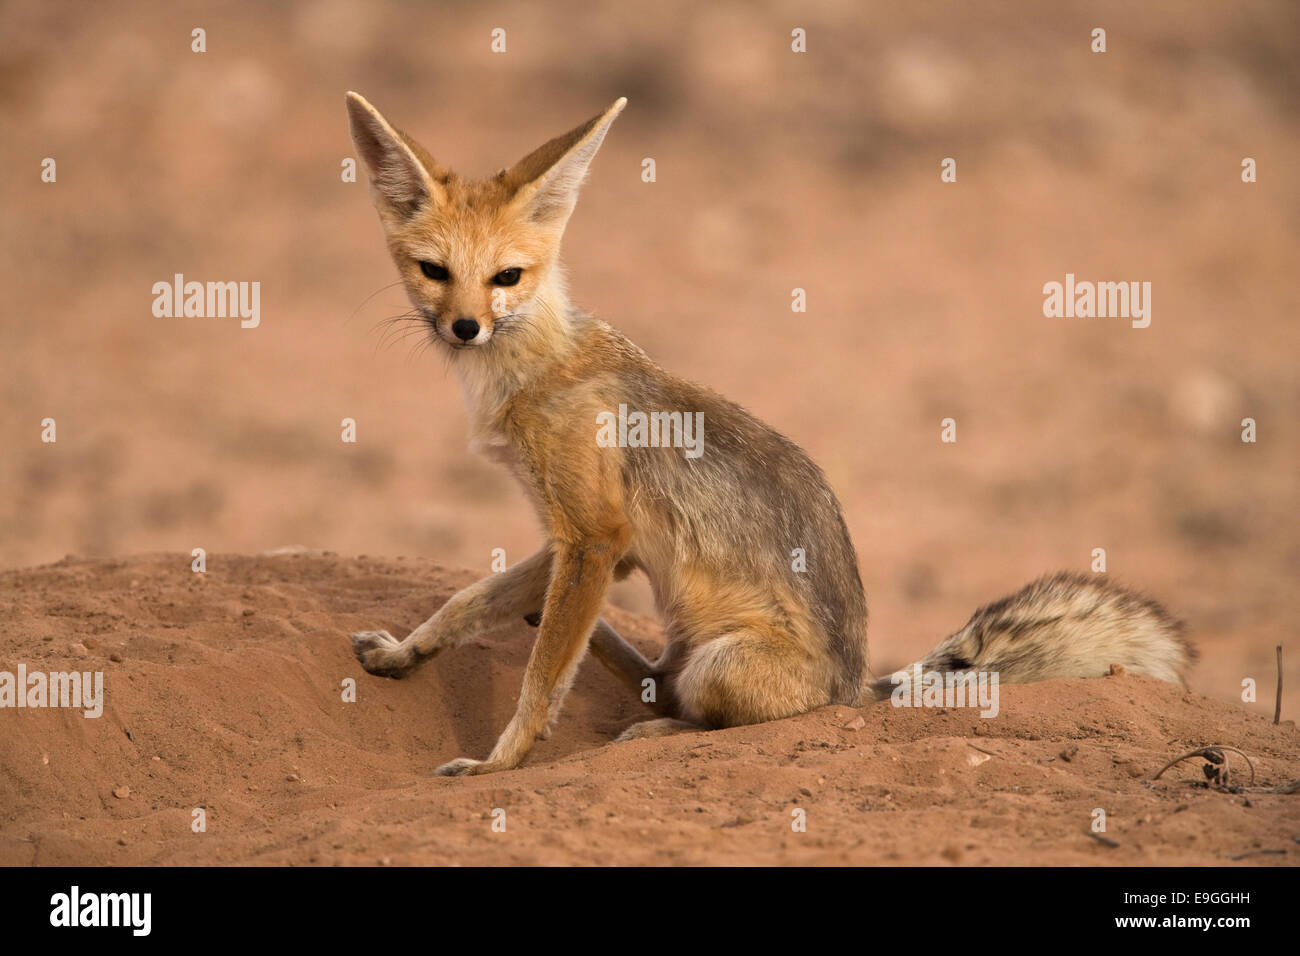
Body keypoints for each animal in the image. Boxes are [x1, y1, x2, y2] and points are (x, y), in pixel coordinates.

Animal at [340, 93, 1190, 780]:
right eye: (434, 270)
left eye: (507, 277)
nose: (465, 327)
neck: (536, 368)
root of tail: (855, 688)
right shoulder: (582, 543)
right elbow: (468, 602)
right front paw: (407, 652)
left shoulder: (593, 539)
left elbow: (541, 678)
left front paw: (500, 761)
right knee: (652, 674)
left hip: (717, 664)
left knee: (698, 716)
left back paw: (657, 729)